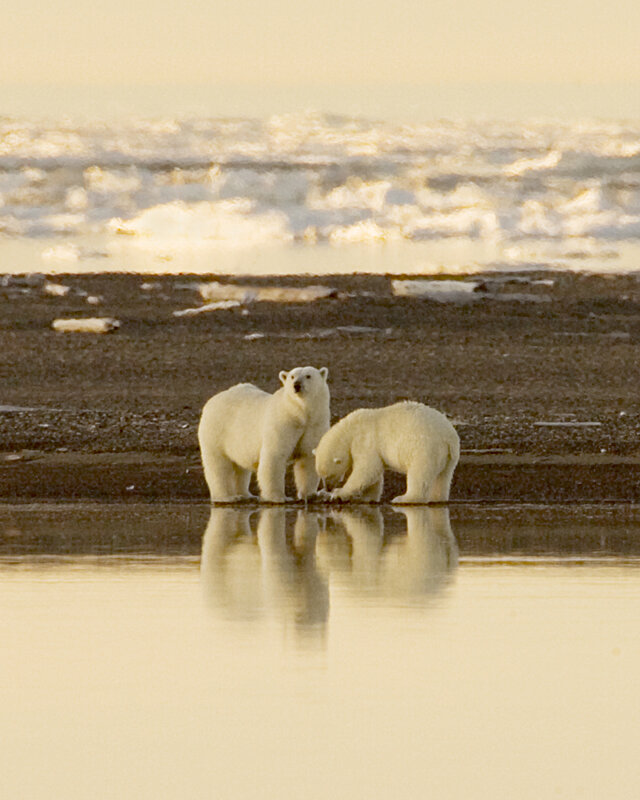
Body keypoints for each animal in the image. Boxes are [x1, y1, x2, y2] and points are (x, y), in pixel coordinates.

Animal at [198, 366, 330, 503]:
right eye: (292, 377)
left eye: (308, 376)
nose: (296, 385)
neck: (299, 414)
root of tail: (211, 401)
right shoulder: (282, 423)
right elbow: (274, 457)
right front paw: (278, 497)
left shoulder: (314, 424)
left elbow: (307, 458)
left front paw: (309, 494)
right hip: (217, 431)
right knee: (219, 466)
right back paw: (227, 497)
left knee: (240, 467)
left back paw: (245, 495)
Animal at [314, 401, 459, 504]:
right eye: (321, 476)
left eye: (328, 475)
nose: (328, 487)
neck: (350, 429)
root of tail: (449, 437)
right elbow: (373, 474)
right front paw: (367, 497)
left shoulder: (365, 441)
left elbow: (367, 470)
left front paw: (337, 494)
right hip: (448, 457)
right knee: (443, 477)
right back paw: (437, 498)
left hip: (425, 448)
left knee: (419, 473)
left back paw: (403, 499)